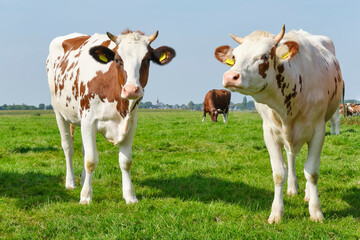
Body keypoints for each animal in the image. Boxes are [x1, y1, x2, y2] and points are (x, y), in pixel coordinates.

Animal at [46, 29, 176, 203]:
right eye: (118, 60)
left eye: (147, 59)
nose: (131, 89)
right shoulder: (89, 121)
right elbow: (91, 160)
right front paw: (86, 196)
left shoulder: (131, 123)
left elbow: (126, 161)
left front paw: (130, 196)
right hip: (59, 112)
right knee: (68, 147)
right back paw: (71, 182)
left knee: (83, 150)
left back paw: (82, 179)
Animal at [215, 24, 344, 223]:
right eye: (235, 56)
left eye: (264, 56)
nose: (230, 76)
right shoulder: (269, 132)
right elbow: (278, 173)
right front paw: (276, 212)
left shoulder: (318, 131)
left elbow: (312, 172)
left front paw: (315, 211)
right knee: (290, 156)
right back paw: (292, 187)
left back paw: (307, 194)